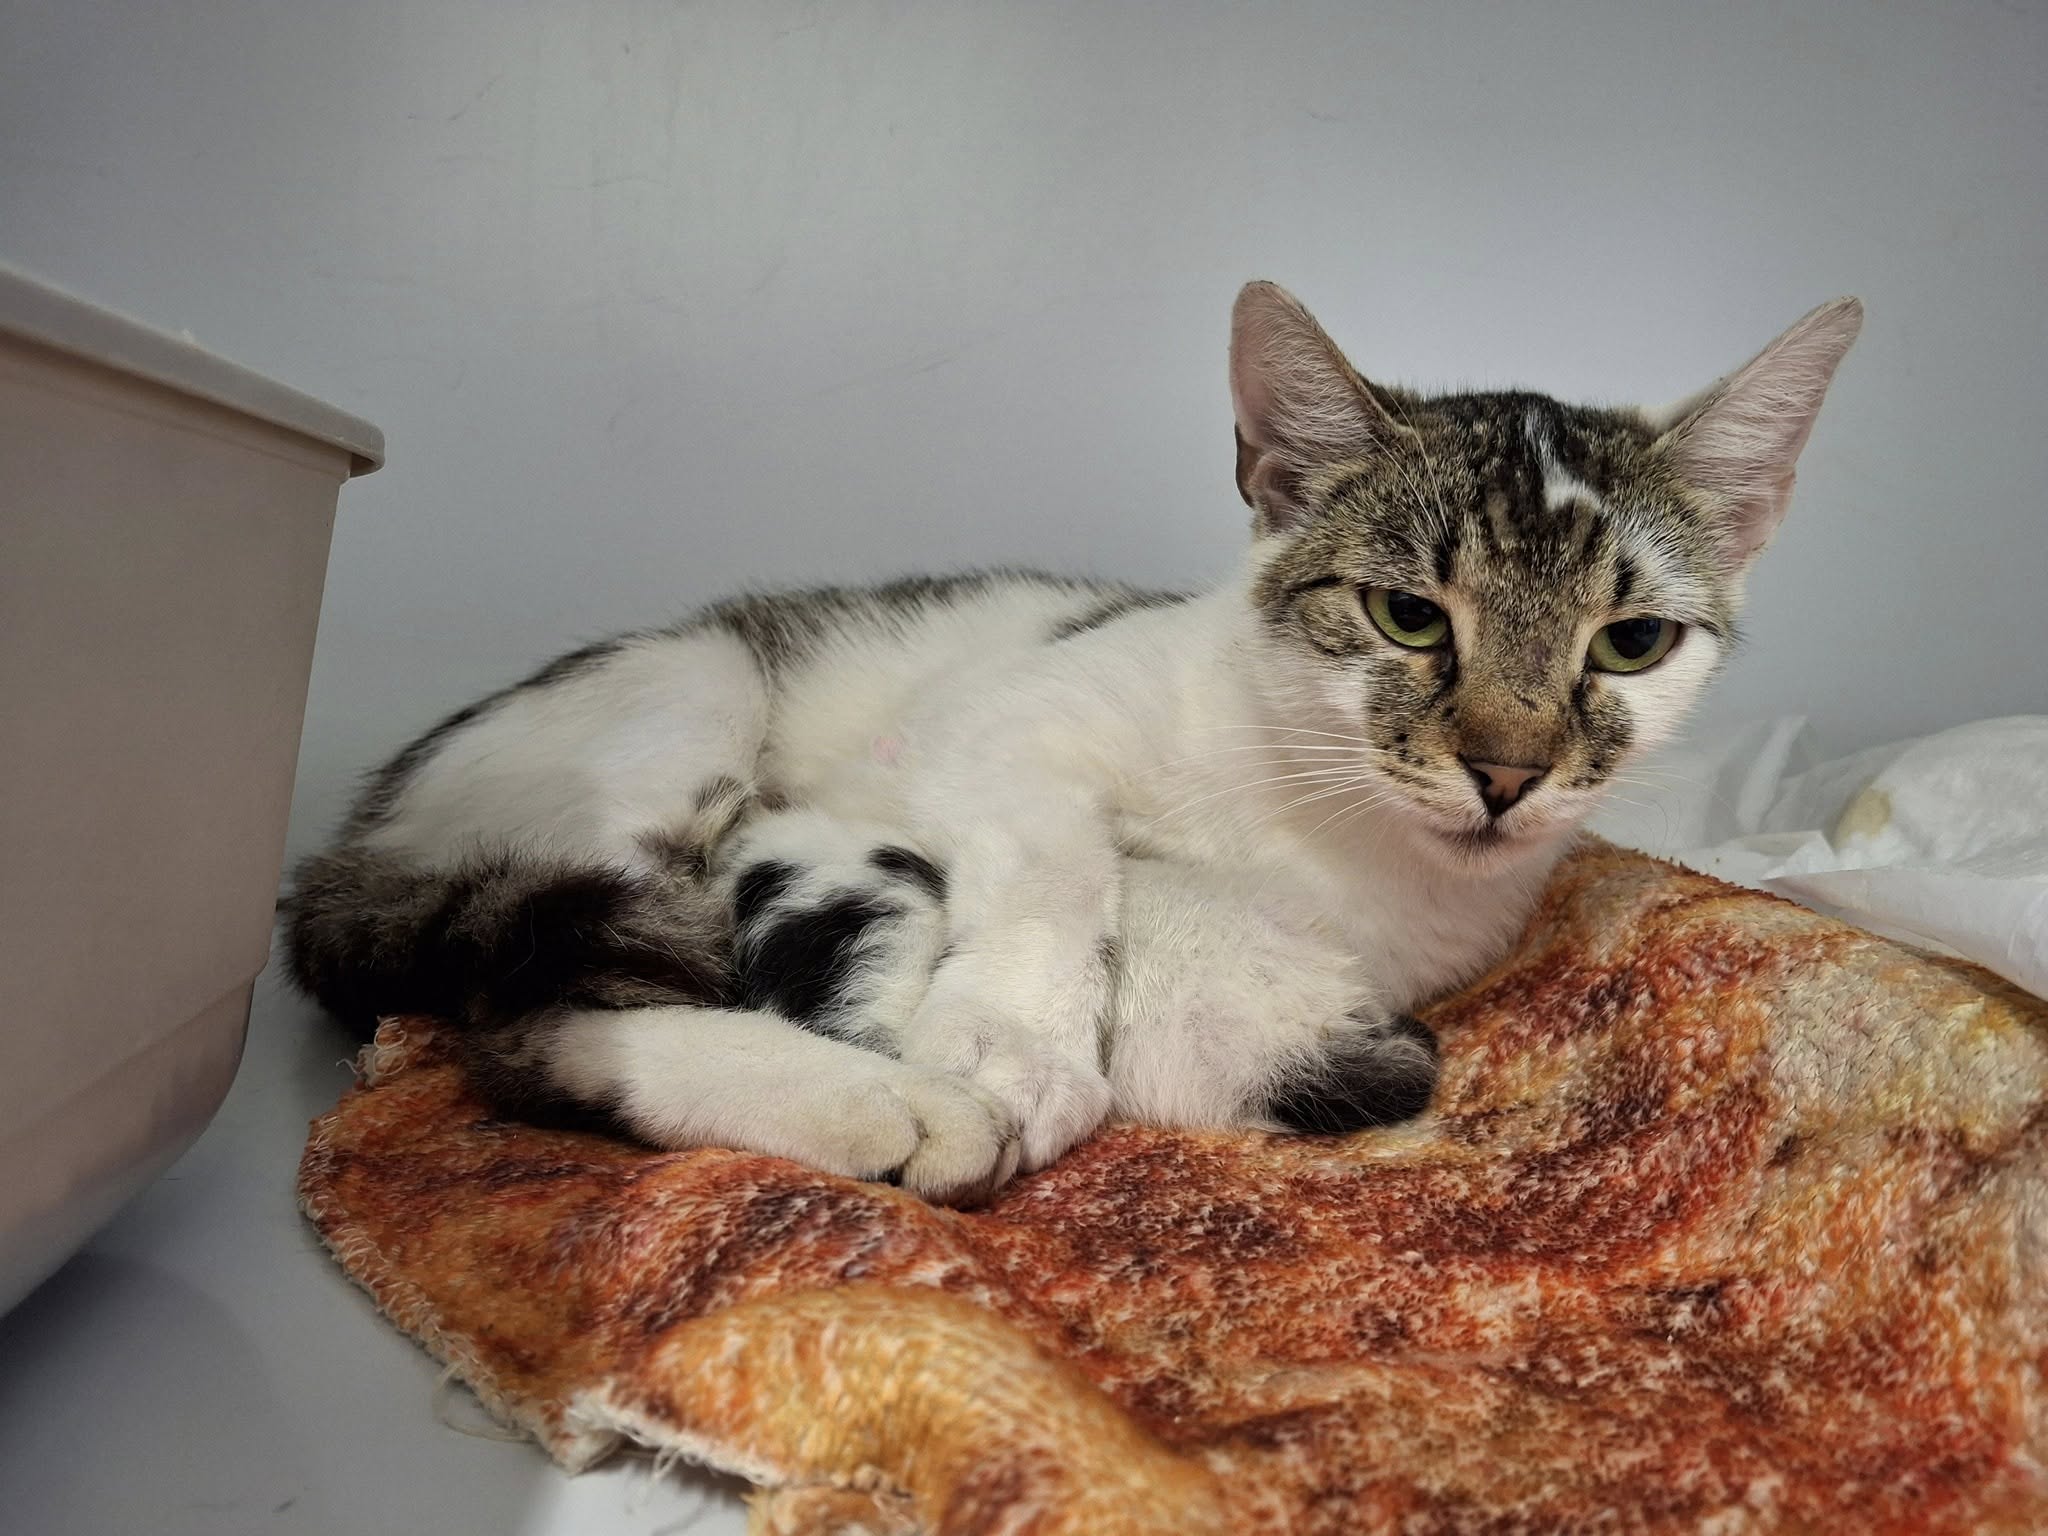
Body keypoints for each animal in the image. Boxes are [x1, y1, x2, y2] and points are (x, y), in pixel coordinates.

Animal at [287, 281, 1861, 1203]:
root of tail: (350, 840)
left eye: (1629, 642)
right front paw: (1010, 1048)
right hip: (683, 702)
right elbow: (1059, 864)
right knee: (529, 1017)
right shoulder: (986, 732)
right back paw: (885, 1104)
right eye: (1409, 615)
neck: (1316, 825)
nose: (1506, 770)